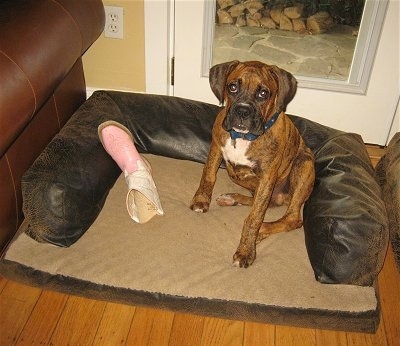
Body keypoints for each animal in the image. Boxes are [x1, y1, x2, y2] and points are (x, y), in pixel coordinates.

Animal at [191, 60, 316, 268]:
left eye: (263, 93)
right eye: (232, 87)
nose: (243, 110)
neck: (242, 137)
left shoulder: (267, 176)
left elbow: (254, 217)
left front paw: (245, 251)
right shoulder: (215, 148)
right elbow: (208, 175)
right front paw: (201, 200)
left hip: (303, 165)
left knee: (291, 218)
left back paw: (262, 230)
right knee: (265, 203)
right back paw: (232, 199)